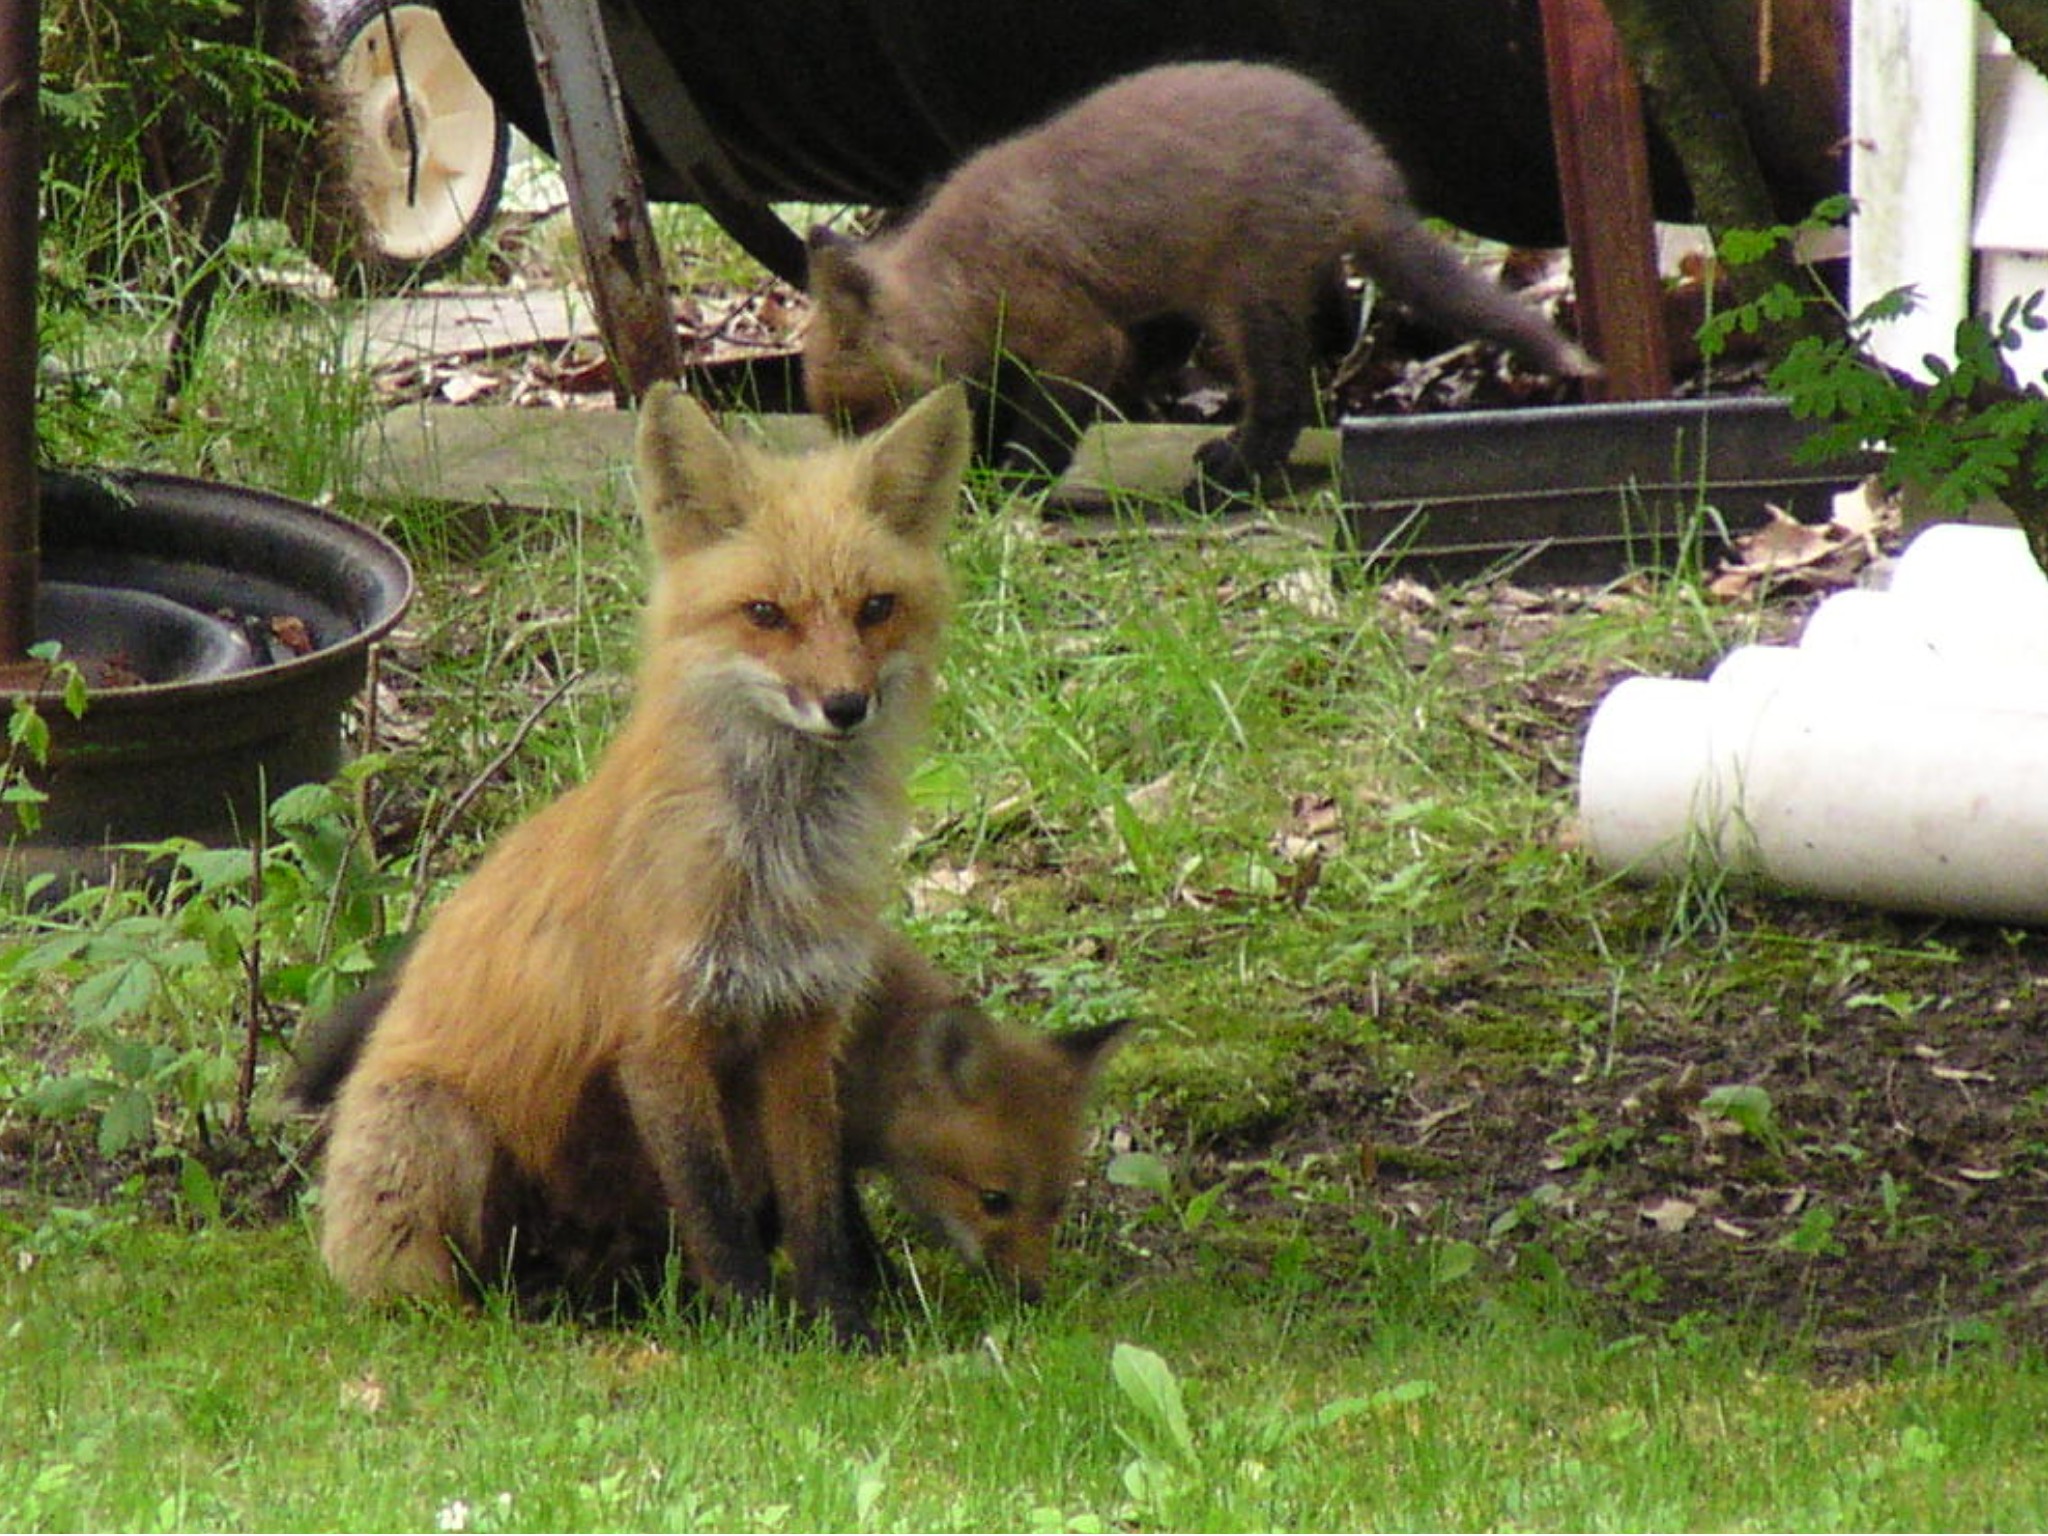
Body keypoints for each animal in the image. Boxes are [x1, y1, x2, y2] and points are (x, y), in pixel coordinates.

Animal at [288, 937, 1129, 1305]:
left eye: (1056, 1206)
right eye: (994, 1200)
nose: (1034, 1296)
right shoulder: (793, 1129)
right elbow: (829, 1222)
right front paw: (876, 1292)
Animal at [312, 380, 969, 1343]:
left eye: (875, 608)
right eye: (766, 614)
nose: (845, 707)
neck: (773, 861)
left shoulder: (802, 1024)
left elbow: (816, 1205)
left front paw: (841, 1327)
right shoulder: (658, 1036)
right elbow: (714, 1211)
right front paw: (753, 1335)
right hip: (439, 1129)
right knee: (451, 1296)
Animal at [803, 60, 1598, 506]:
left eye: (863, 416)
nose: (853, 497)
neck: (961, 271)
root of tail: (1365, 166)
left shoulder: (1077, 338)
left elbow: (1046, 426)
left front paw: (1011, 488)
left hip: (1245, 299)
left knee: (1283, 397)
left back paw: (1231, 476)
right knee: (1324, 346)